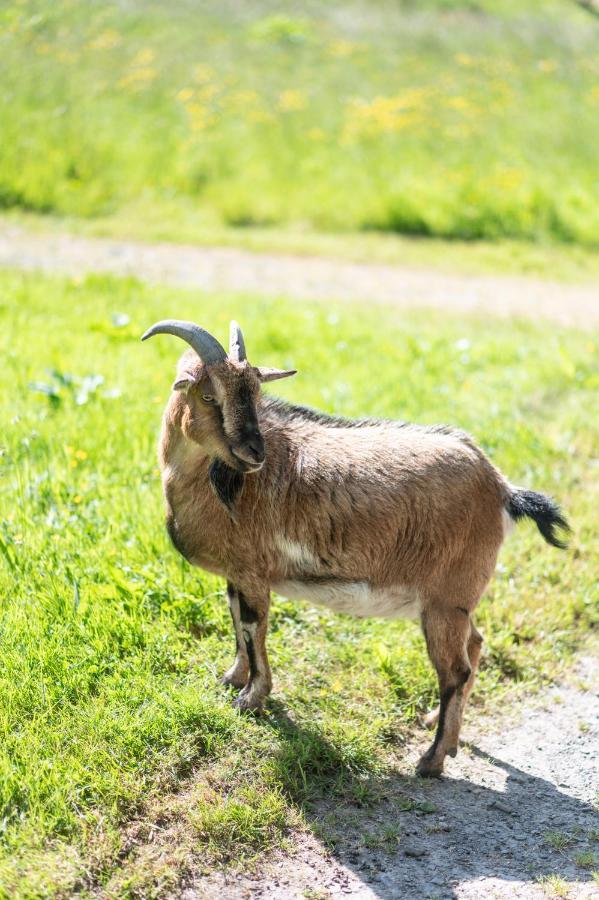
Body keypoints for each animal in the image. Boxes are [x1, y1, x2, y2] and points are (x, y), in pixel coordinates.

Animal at [143, 320, 568, 776]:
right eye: (208, 395)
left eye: (255, 394)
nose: (255, 453)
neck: (220, 486)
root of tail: (502, 488)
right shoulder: (236, 574)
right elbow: (238, 623)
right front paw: (231, 679)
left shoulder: (254, 571)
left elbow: (254, 630)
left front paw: (250, 699)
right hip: (456, 600)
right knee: (474, 645)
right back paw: (439, 726)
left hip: (445, 599)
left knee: (455, 670)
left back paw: (431, 759)